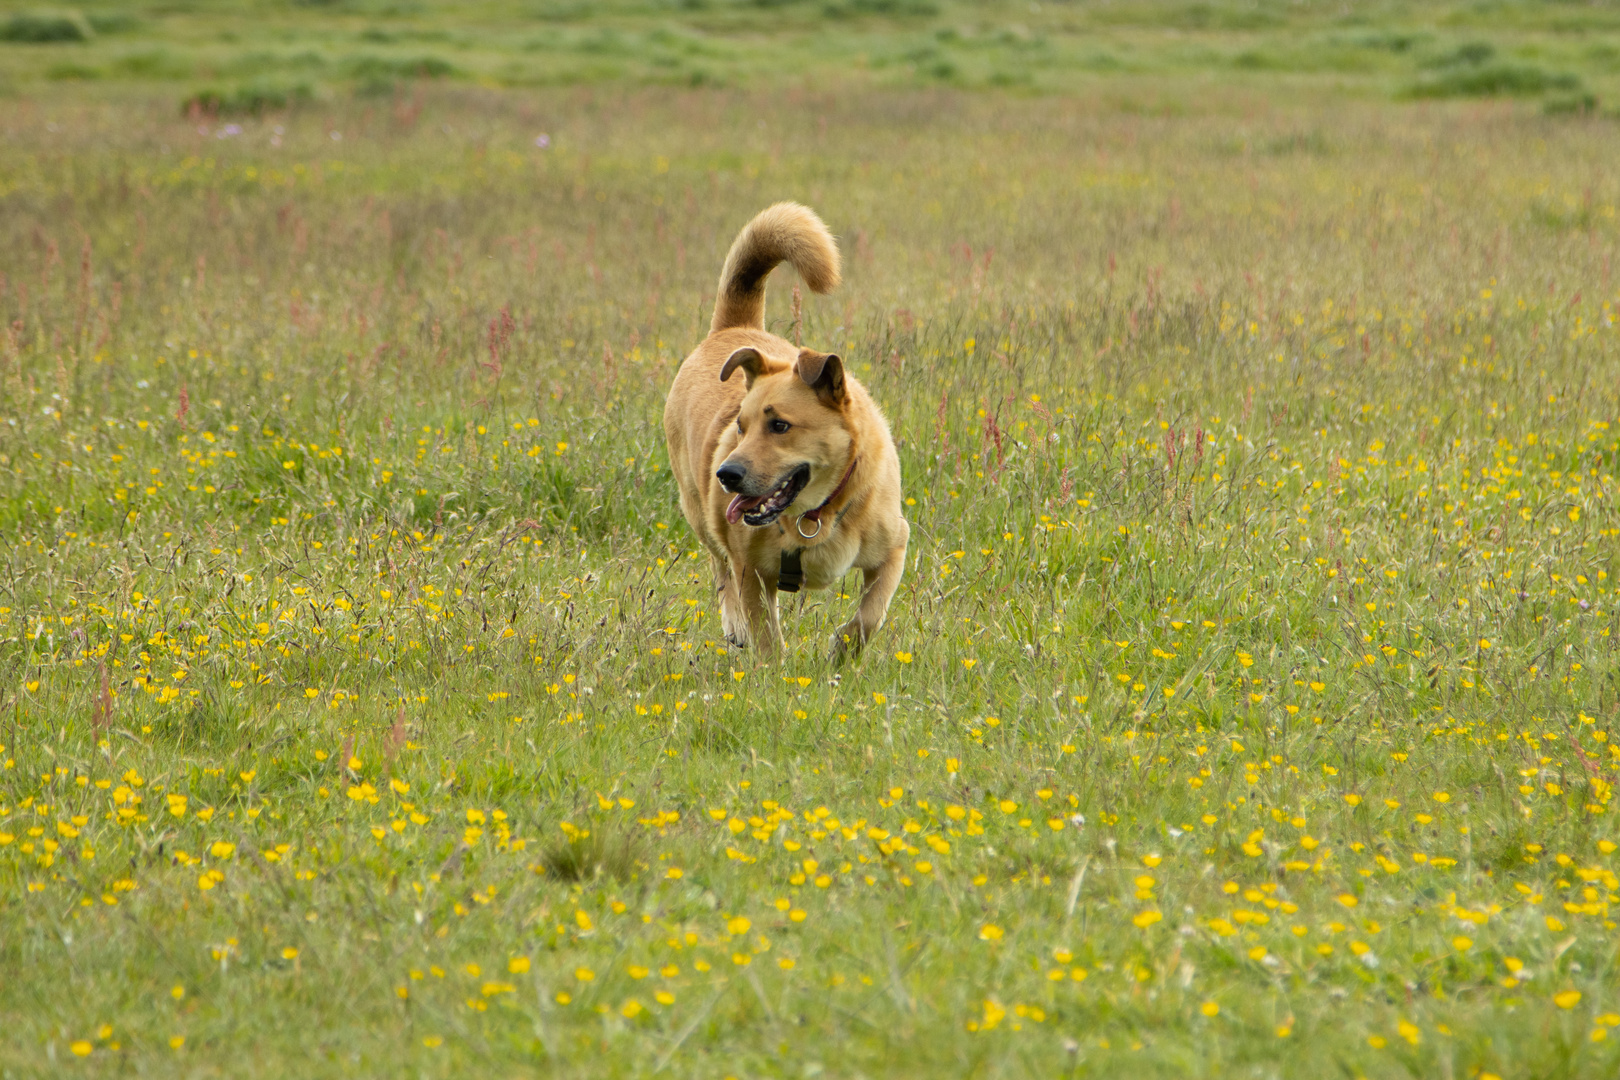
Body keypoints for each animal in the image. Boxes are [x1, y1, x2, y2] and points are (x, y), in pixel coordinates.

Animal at [660, 201, 913, 660]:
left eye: (780, 425)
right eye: (740, 427)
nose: (726, 475)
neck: (815, 515)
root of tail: (733, 328)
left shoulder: (894, 546)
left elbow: (870, 614)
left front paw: (842, 651)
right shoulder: (752, 572)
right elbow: (765, 634)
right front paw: (775, 670)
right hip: (699, 510)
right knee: (718, 565)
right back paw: (734, 624)